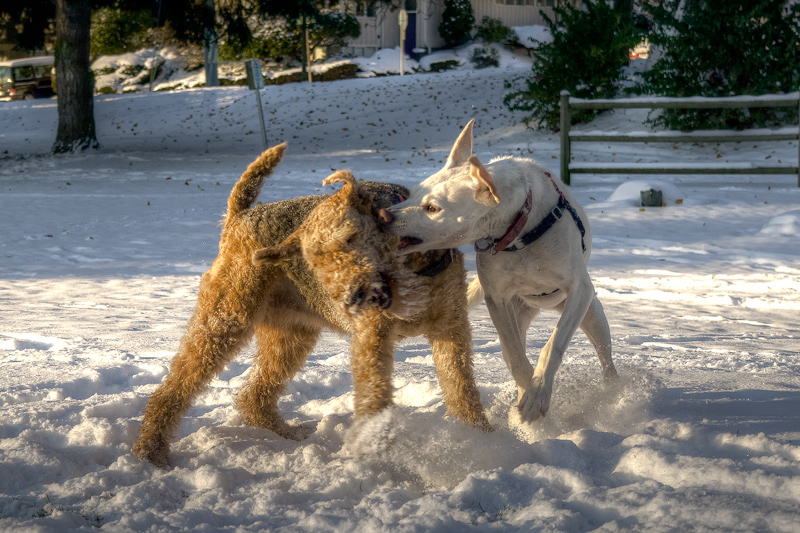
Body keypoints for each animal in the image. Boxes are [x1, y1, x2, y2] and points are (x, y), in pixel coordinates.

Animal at [378, 121, 616, 424]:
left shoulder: (578, 290)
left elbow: (554, 345)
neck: (518, 231)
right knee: (511, 349)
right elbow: (515, 356)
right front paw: (527, 395)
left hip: (591, 313)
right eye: (412, 194)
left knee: (605, 356)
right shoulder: (497, 299)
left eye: (432, 208)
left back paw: (615, 391)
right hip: (518, 314)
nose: (383, 215)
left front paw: (537, 396)